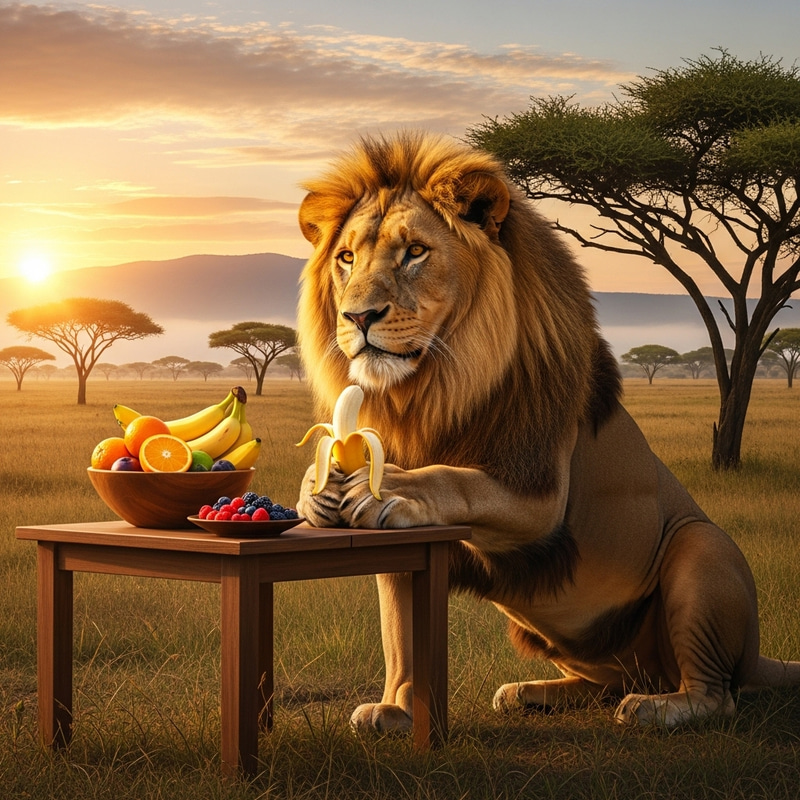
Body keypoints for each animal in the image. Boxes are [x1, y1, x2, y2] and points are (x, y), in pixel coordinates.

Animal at [294, 130, 800, 732]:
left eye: (415, 252)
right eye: (346, 258)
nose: (357, 317)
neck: (428, 391)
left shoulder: (540, 493)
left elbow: (453, 479)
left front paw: (390, 484)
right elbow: (399, 631)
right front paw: (397, 708)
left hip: (701, 548)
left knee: (715, 694)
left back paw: (657, 707)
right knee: (602, 682)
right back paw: (530, 691)